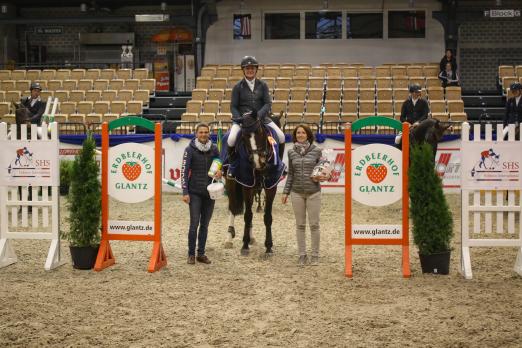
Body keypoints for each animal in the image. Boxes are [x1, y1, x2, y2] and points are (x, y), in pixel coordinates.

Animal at [221, 115, 282, 254]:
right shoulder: (247, 184)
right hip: (231, 183)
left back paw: (251, 237)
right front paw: (244, 245)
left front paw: (268, 246)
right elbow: (247, 215)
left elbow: (267, 217)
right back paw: (229, 239)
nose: (258, 161)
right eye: (244, 136)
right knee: (232, 208)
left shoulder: (271, 186)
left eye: (260, 132)